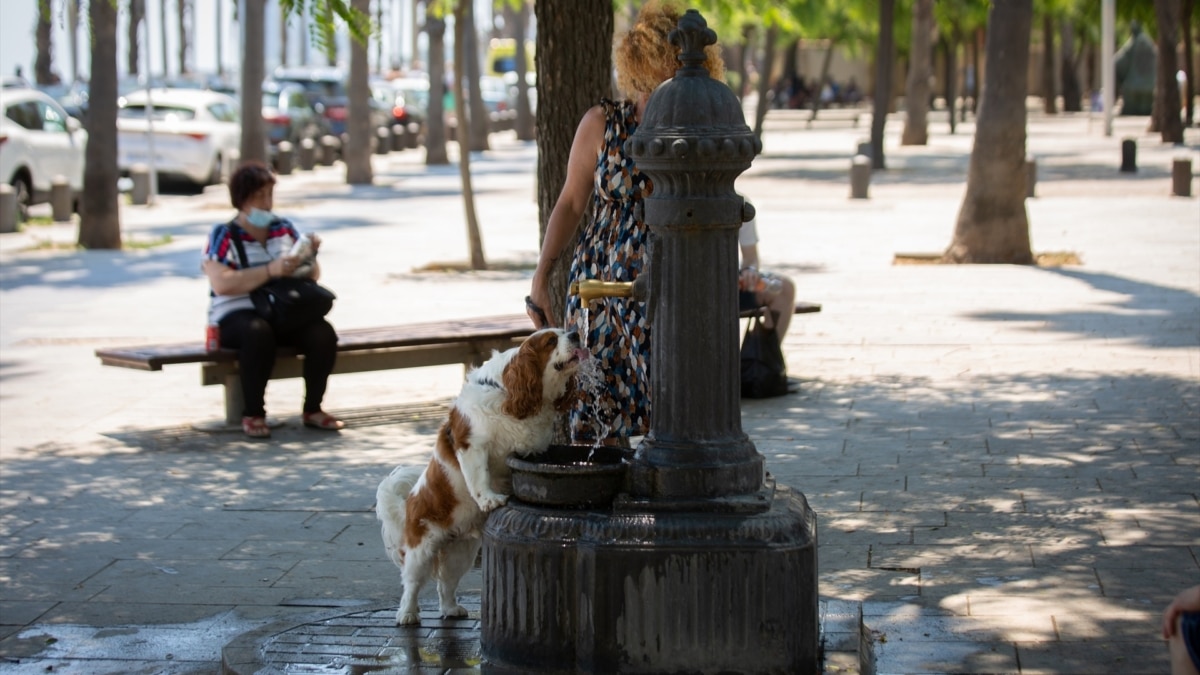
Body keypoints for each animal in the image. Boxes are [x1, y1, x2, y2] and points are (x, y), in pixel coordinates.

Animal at [372, 326, 583, 619]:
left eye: (564, 332)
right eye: (552, 340)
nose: (575, 332)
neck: (507, 391)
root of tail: (408, 504)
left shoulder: (531, 450)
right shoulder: (473, 445)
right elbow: (480, 477)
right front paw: (490, 500)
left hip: (461, 554)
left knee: (446, 584)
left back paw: (451, 609)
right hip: (421, 551)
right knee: (411, 583)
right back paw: (407, 614)